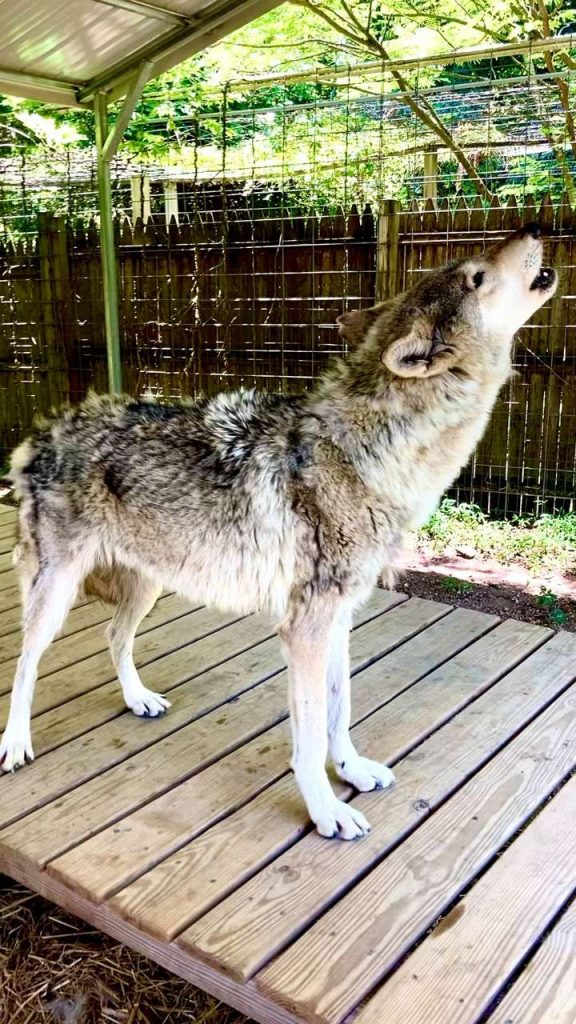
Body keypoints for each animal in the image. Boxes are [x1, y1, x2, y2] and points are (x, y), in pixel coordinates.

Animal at [0, 224, 557, 839]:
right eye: (475, 276)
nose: (534, 227)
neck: (365, 453)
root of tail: (43, 429)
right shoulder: (304, 628)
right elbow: (309, 737)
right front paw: (326, 810)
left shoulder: (337, 619)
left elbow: (340, 712)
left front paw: (352, 771)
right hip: (56, 593)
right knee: (26, 663)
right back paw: (16, 743)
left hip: (148, 584)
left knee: (112, 636)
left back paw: (138, 699)